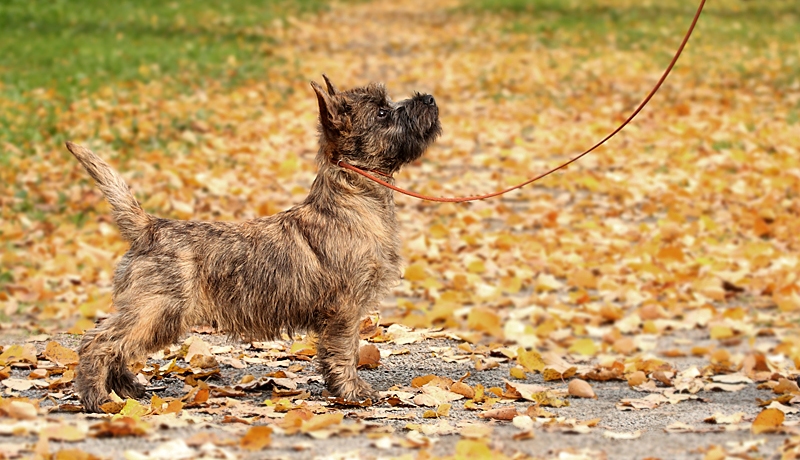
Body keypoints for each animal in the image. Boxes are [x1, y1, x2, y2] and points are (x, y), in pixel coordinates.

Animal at [67, 76, 444, 414]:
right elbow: (344, 351)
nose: (428, 98)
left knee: (116, 346)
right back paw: (97, 399)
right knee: (98, 342)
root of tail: (150, 228)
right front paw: (352, 392)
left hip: (151, 312)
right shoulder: (345, 308)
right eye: (382, 112)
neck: (354, 199)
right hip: (158, 310)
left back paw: (127, 389)